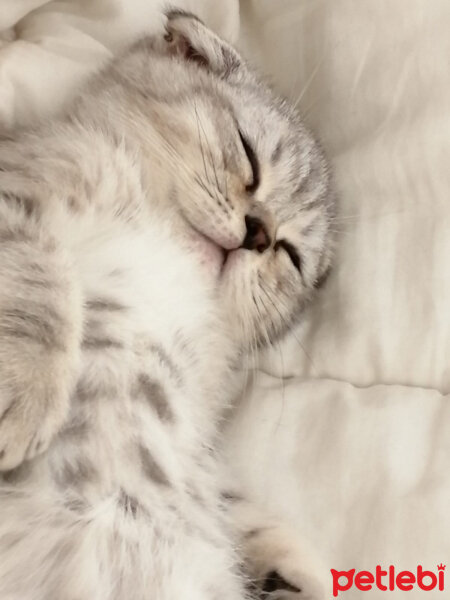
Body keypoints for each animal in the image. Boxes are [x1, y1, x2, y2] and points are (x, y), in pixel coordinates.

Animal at [0, 9, 334, 600]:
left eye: (290, 254)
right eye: (248, 154)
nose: (259, 233)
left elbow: (234, 505)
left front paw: (292, 573)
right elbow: (37, 268)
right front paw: (25, 392)